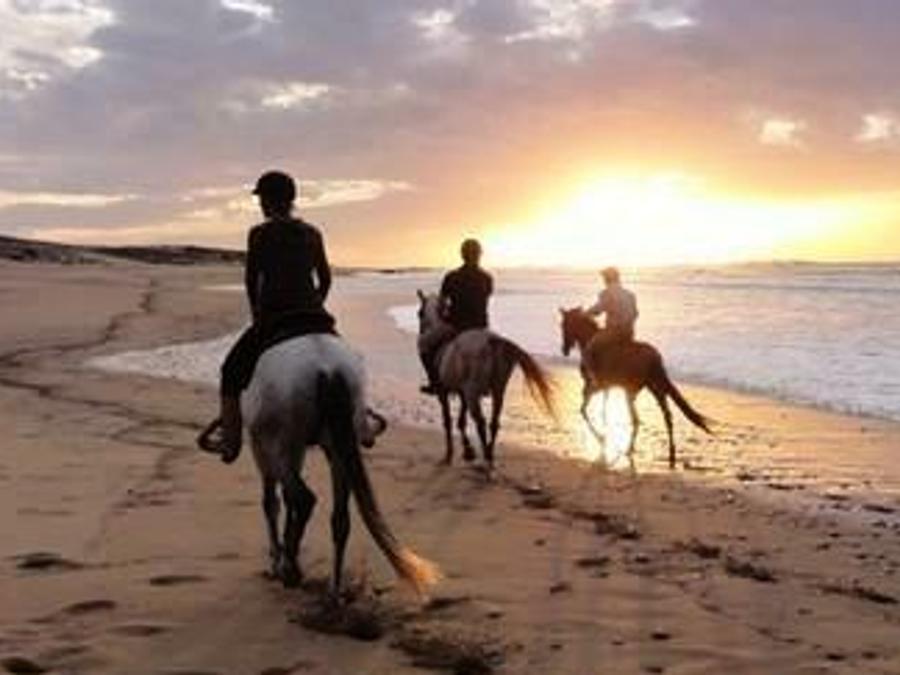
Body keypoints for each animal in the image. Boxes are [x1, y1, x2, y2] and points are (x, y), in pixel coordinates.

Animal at [241, 333, 439, 596]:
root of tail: (328, 369)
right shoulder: (296, 450)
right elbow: (285, 499)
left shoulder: (262, 446)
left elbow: (272, 503)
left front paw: (277, 560)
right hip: (336, 450)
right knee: (339, 518)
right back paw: (333, 589)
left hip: (281, 446)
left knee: (304, 499)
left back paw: (291, 570)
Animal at [416, 290, 556, 470]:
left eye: (419, 313)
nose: (421, 332)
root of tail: (492, 340)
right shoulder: (462, 393)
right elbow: (461, 421)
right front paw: (468, 451)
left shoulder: (445, 392)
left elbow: (448, 421)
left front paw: (450, 455)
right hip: (497, 390)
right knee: (493, 422)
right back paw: (489, 454)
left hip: (473, 392)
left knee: (481, 423)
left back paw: (486, 459)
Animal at [559, 307, 712, 468]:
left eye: (563, 325)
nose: (564, 350)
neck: (589, 338)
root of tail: (655, 358)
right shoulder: (605, 387)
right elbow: (602, 409)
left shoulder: (592, 385)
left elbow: (584, 409)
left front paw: (601, 437)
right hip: (656, 388)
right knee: (666, 416)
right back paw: (671, 453)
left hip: (631, 392)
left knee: (637, 420)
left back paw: (630, 449)